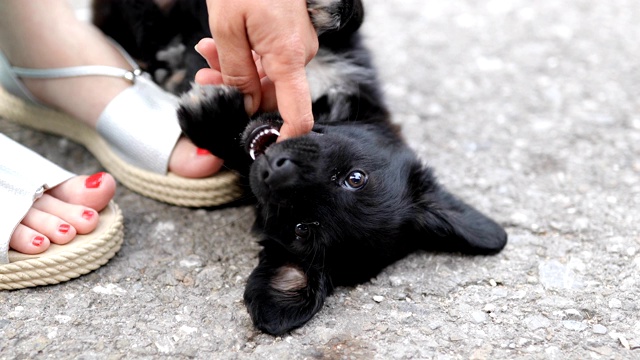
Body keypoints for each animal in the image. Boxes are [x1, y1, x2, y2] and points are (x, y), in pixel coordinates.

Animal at [95, 0, 508, 334]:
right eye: (355, 178)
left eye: (303, 229)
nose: (276, 168)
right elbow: (349, 20)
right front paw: (324, 8)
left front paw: (211, 116)